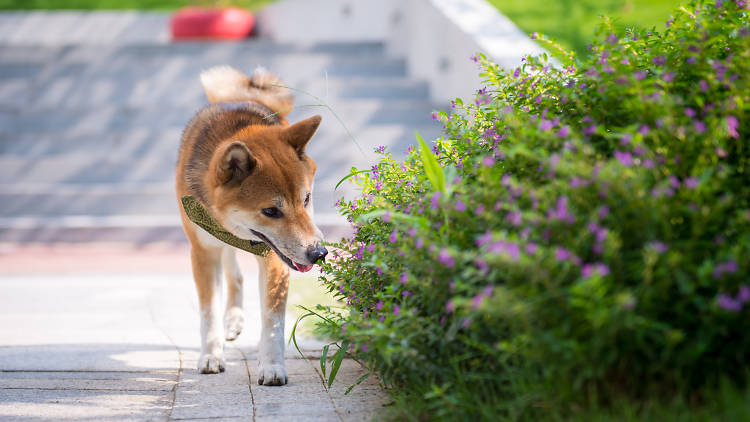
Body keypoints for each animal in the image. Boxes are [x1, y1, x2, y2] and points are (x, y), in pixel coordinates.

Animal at [178, 66, 330, 386]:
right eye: (270, 211)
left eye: (306, 198)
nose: (319, 253)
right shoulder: (203, 250)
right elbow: (208, 312)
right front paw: (211, 356)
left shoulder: (273, 257)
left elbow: (272, 321)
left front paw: (272, 367)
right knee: (232, 272)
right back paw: (232, 320)